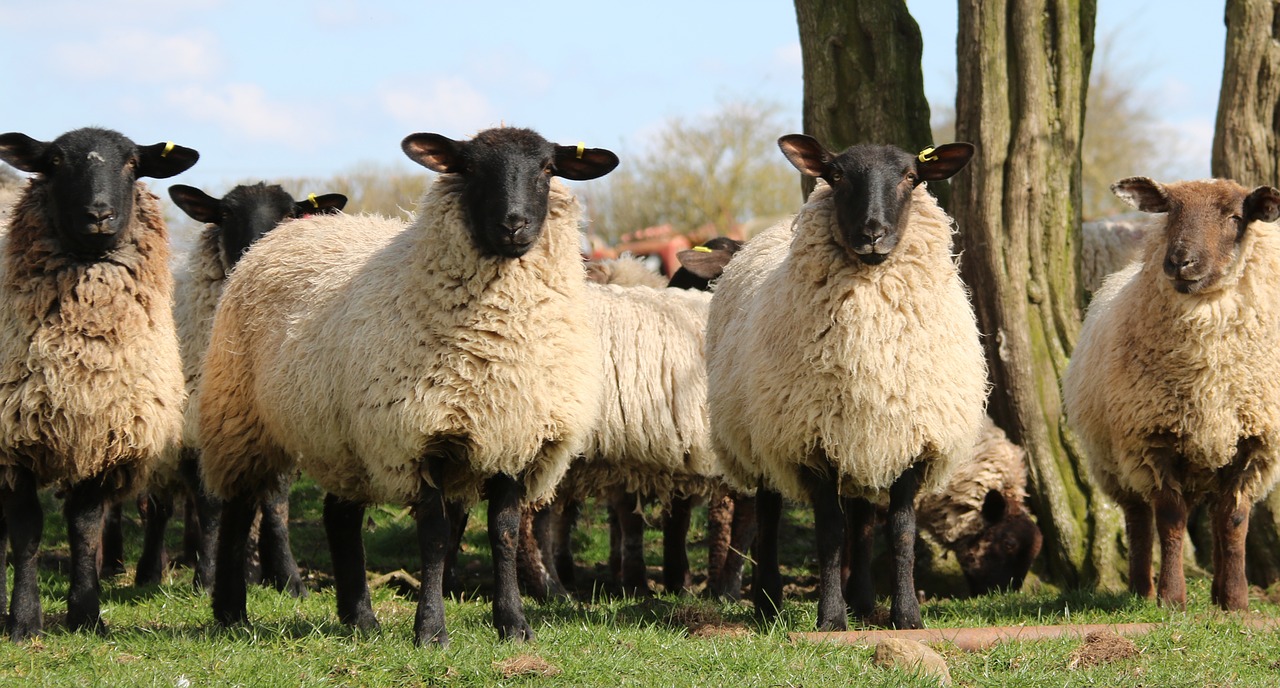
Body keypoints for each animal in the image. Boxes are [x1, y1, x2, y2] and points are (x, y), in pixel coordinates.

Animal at [0, 124, 197, 636]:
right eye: (53, 162)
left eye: (131, 163)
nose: (99, 214)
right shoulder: (12, 440)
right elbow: (26, 531)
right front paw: (23, 620)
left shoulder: (103, 436)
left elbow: (85, 529)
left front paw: (87, 614)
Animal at [133, 179, 348, 585]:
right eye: (226, 214)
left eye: (290, 214)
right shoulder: (195, 426)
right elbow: (210, 505)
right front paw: (207, 576)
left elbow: (276, 504)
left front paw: (288, 579)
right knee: (158, 506)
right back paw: (150, 572)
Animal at [195, 125, 619, 644]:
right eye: (469, 168)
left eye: (547, 168)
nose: (514, 224)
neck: (501, 349)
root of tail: (277, 237)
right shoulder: (420, 437)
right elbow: (434, 537)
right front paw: (432, 630)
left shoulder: (514, 435)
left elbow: (503, 531)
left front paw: (513, 624)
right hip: (241, 416)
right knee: (238, 507)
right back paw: (231, 610)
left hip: (344, 439)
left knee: (339, 517)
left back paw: (359, 617)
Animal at [706, 132, 983, 626]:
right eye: (835, 175)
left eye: (911, 176)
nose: (872, 233)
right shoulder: (811, 441)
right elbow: (829, 532)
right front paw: (831, 618)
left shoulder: (911, 439)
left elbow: (900, 531)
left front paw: (906, 615)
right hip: (764, 436)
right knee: (768, 514)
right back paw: (768, 602)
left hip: (864, 437)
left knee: (862, 516)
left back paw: (864, 600)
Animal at [1059, 173, 1280, 608]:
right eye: (1170, 212)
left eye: (1235, 217)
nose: (1180, 262)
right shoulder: (1153, 439)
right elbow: (1170, 521)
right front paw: (1172, 598)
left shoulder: (1253, 444)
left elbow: (1234, 522)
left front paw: (1235, 601)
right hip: (1115, 463)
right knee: (1139, 520)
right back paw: (1142, 590)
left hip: (1206, 458)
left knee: (1213, 517)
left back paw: (1216, 593)